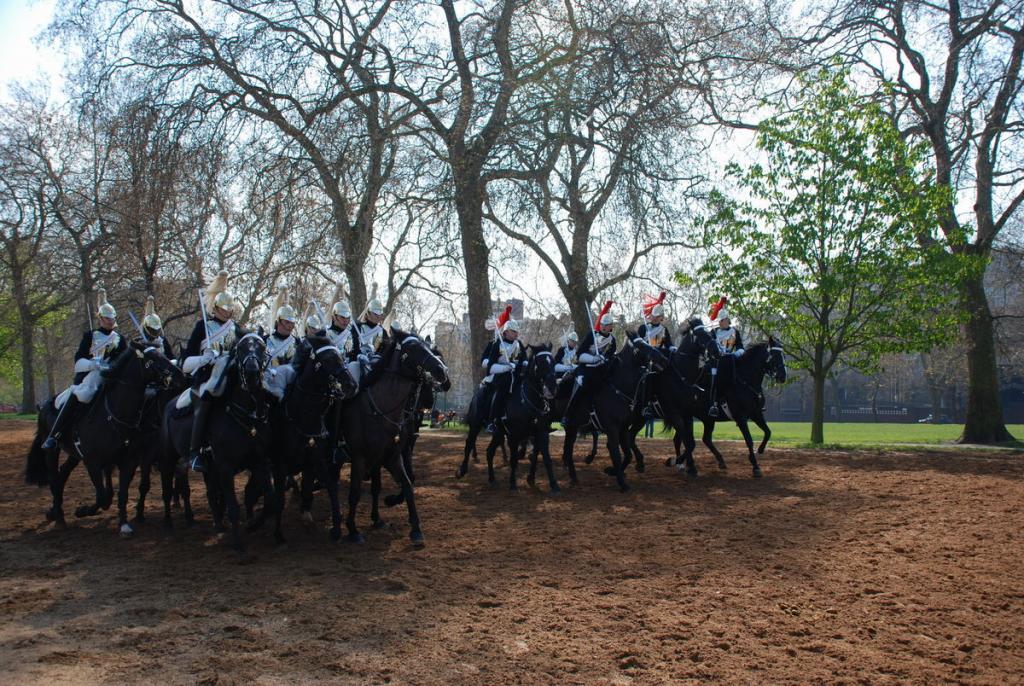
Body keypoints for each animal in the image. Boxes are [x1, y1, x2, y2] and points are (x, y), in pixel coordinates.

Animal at [25, 341, 182, 536]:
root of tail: (47, 403)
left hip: (75, 455)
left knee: (62, 475)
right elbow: (102, 497)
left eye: (164, 355)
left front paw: (124, 524)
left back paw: (53, 512)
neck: (114, 412)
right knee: (54, 478)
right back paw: (60, 518)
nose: (179, 374)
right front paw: (83, 510)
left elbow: (122, 494)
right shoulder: (93, 462)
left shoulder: (128, 461)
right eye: (152, 359)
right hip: (52, 451)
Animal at [158, 333, 272, 552]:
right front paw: (238, 545)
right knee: (167, 488)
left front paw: (253, 524)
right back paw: (168, 522)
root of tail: (170, 404)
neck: (244, 414)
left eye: (262, 347)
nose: (252, 373)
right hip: (169, 458)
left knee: (209, 492)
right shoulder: (226, 468)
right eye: (240, 349)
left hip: (207, 466)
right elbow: (233, 506)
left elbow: (269, 497)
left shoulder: (260, 463)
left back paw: (215, 523)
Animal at [337, 331, 450, 548]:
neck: (380, 409)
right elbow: (355, 492)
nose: (443, 372)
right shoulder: (360, 458)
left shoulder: (391, 456)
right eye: (412, 348)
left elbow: (406, 484)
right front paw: (353, 529)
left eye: (429, 348)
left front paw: (414, 528)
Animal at [458, 346, 561, 491]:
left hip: (498, 433)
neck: (527, 401)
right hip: (475, 425)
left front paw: (554, 485)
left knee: (489, 452)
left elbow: (546, 457)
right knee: (469, 444)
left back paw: (492, 479)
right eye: (540, 362)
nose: (552, 388)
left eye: (553, 361)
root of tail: (476, 394)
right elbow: (514, 459)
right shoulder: (514, 435)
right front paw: (513, 483)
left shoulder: (541, 433)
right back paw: (462, 471)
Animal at [561, 333, 671, 491]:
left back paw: (574, 476)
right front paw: (622, 483)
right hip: (571, 426)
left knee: (569, 449)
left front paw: (612, 471)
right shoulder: (612, 429)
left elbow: (627, 454)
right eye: (641, 346)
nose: (664, 360)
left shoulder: (623, 428)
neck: (618, 388)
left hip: (574, 428)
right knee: (569, 449)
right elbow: (616, 454)